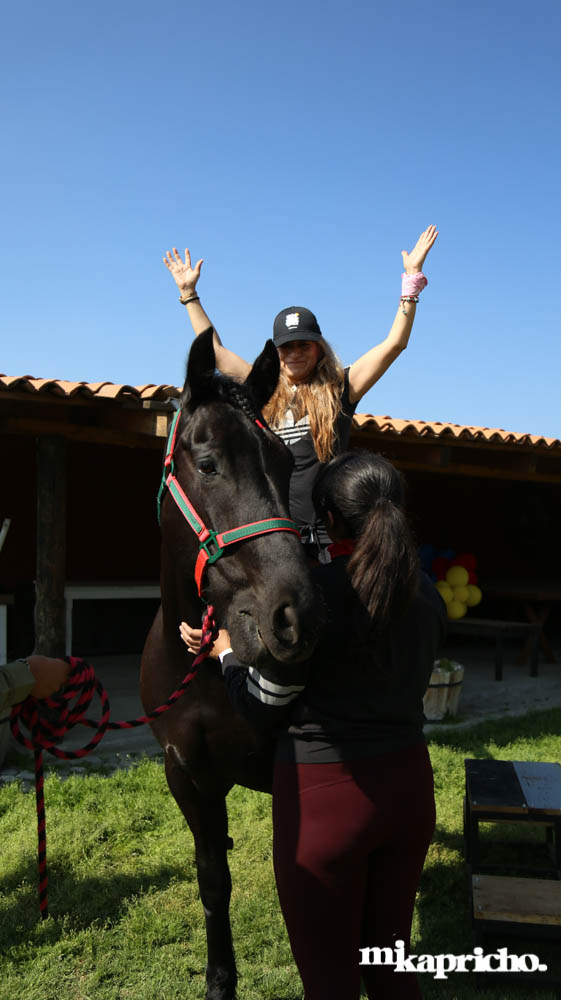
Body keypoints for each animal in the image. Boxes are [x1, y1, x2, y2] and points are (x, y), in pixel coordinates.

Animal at [140, 329, 320, 1000]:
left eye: (285, 465)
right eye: (209, 462)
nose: (295, 616)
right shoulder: (187, 773)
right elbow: (213, 877)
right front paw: (221, 979)